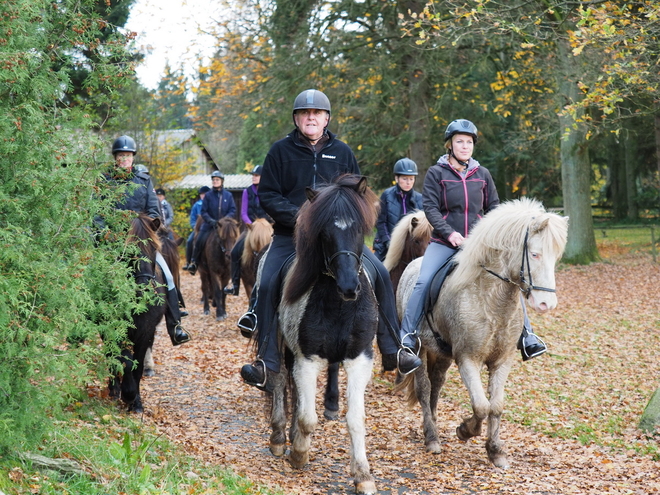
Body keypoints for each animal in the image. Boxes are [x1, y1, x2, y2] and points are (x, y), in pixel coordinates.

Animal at [107, 215, 164, 412]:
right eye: (129, 250)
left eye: (154, 248)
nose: (144, 287)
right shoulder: (117, 331)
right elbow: (125, 360)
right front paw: (127, 394)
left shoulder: (145, 333)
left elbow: (137, 368)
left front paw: (136, 402)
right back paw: (114, 390)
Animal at [270, 175, 382, 495]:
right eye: (324, 233)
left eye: (359, 228)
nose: (349, 287)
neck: (339, 306)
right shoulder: (306, 360)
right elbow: (308, 418)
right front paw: (299, 453)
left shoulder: (359, 360)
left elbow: (355, 420)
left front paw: (363, 475)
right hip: (280, 347)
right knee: (279, 381)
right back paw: (279, 438)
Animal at [394, 199, 568, 468]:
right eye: (535, 254)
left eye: (556, 257)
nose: (546, 304)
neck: (492, 301)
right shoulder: (468, 359)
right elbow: (481, 406)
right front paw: (465, 430)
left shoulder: (502, 361)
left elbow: (495, 406)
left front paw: (495, 451)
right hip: (420, 351)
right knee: (424, 389)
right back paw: (431, 438)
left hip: (441, 354)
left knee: (436, 385)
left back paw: (433, 425)